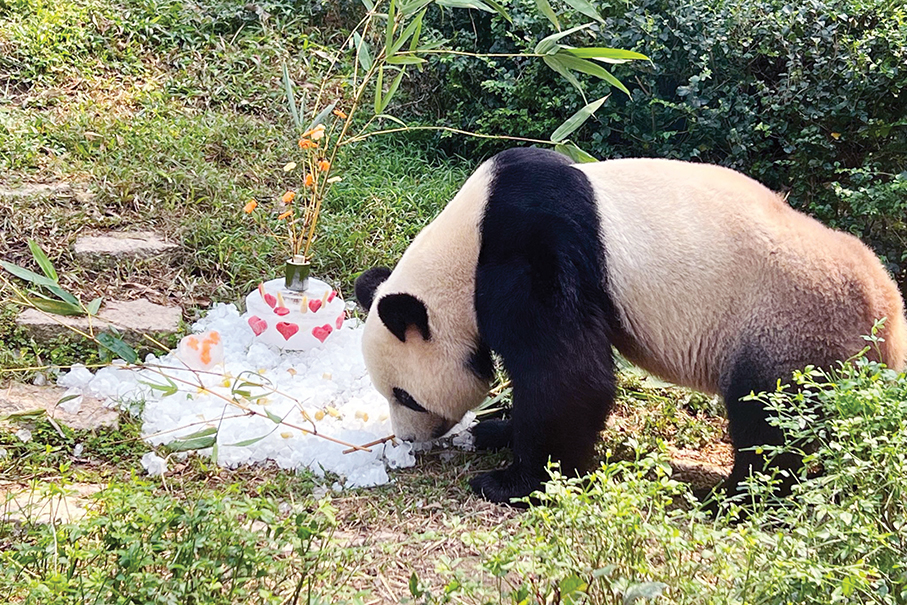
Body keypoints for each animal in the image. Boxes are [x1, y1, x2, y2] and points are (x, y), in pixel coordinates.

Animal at [354, 149, 907, 502]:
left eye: (404, 396)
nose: (409, 440)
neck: (465, 245)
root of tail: (888, 313)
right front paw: (497, 429)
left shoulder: (532, 247)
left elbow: (568, 375)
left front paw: (511, 482)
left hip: (787, 323)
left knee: (770, 419)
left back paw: (735, 499)